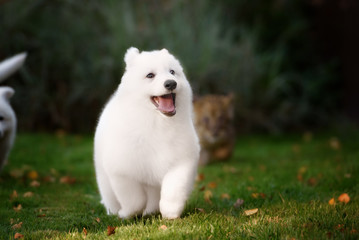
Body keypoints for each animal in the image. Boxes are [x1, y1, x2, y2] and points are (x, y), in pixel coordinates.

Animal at [94, 47, 201, 219]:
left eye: (172, 72)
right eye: (150, 75)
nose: (171, 83)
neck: (157, 123)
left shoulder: (181, 162)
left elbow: (173, 190)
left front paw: (170, 213)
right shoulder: (122, 171)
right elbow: (135, 200)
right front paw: (126, 214)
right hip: (104, 179)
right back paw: (115, 212)